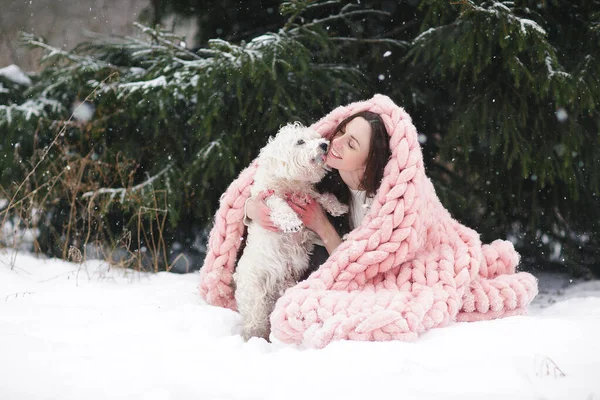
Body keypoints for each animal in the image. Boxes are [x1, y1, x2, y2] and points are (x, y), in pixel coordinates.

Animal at [233, 122, 346, 340]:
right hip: (256, 298)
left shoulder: (308, 196)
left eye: (315, 137)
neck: (291, 184)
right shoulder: (268, 197)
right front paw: (291, 221)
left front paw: (337, 207)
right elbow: (278, 204)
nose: (324, 145)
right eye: (300, 142)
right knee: (255, 323)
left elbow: (322, 196)